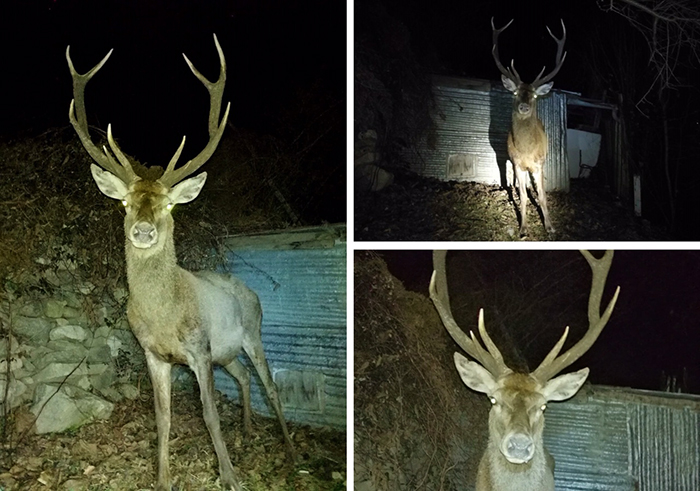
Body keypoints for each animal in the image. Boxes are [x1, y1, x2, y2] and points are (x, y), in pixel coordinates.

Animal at [66, 35, 295, 491]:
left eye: (170, 206)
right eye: (124, 203)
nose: (143, 231)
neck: (164, 315)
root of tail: (248, 289)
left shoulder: (199, 348)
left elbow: (209, 415)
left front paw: (230, 477)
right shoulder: (155, 354)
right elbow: (163, 418)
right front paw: (163, 478)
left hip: (252, 331)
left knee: (270, 384)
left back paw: (290, 452)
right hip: (227, 351)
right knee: (244, 377)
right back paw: (247, 429)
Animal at [491, 17, 567, 236]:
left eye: (533, 95)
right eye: (515, 93)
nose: (524, 106)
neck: (526, 149)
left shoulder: (539, 163)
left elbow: (541, 195)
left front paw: (550, 227)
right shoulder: (517, 163)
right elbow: (523, 195)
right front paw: (523, 228)